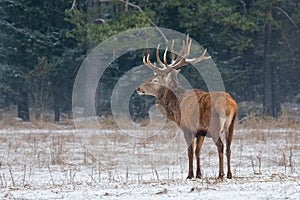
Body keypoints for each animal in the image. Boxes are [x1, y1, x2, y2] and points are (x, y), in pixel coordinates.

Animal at [135, 35, 237, 179]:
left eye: (154, 80)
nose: (138, 88)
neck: (176, 105)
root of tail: (230, 105)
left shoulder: (187, 128)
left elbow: (189, 152)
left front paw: (190, 175)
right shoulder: (200, 132)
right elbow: (198, 151)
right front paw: (199, 174)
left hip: (215, 126)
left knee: (221, 146)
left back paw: (221, 174)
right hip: (231, 125)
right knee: (229, 148)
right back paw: (229, 174)